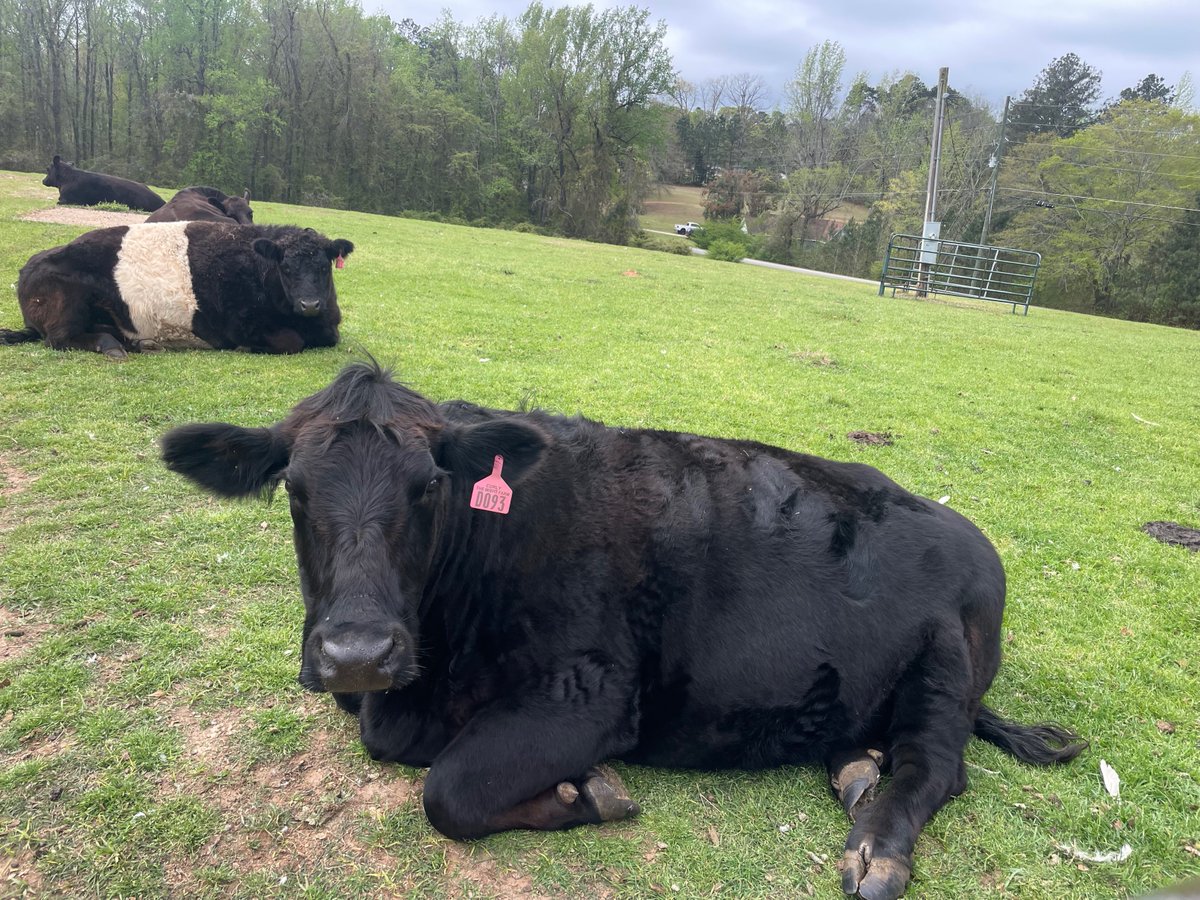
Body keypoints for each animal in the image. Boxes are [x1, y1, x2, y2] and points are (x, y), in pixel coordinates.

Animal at [0, 222, 353, 359]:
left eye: (323, 267)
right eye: (286, 269)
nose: (310, 304)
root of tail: (31, 264)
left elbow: (332, 336)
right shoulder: (241, 326)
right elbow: (290, 341)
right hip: (68, 302)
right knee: (59, 338)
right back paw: (112, 346)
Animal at [159, 361, 1086, 900]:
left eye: (429, 486)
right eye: (294, 489)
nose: (357, 652)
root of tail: (964, 529)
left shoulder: (592, 693)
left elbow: (448, 788)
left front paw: (583, 792)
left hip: (945, 663)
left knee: (935, 767)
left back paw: (877, 846)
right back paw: (854, 763)